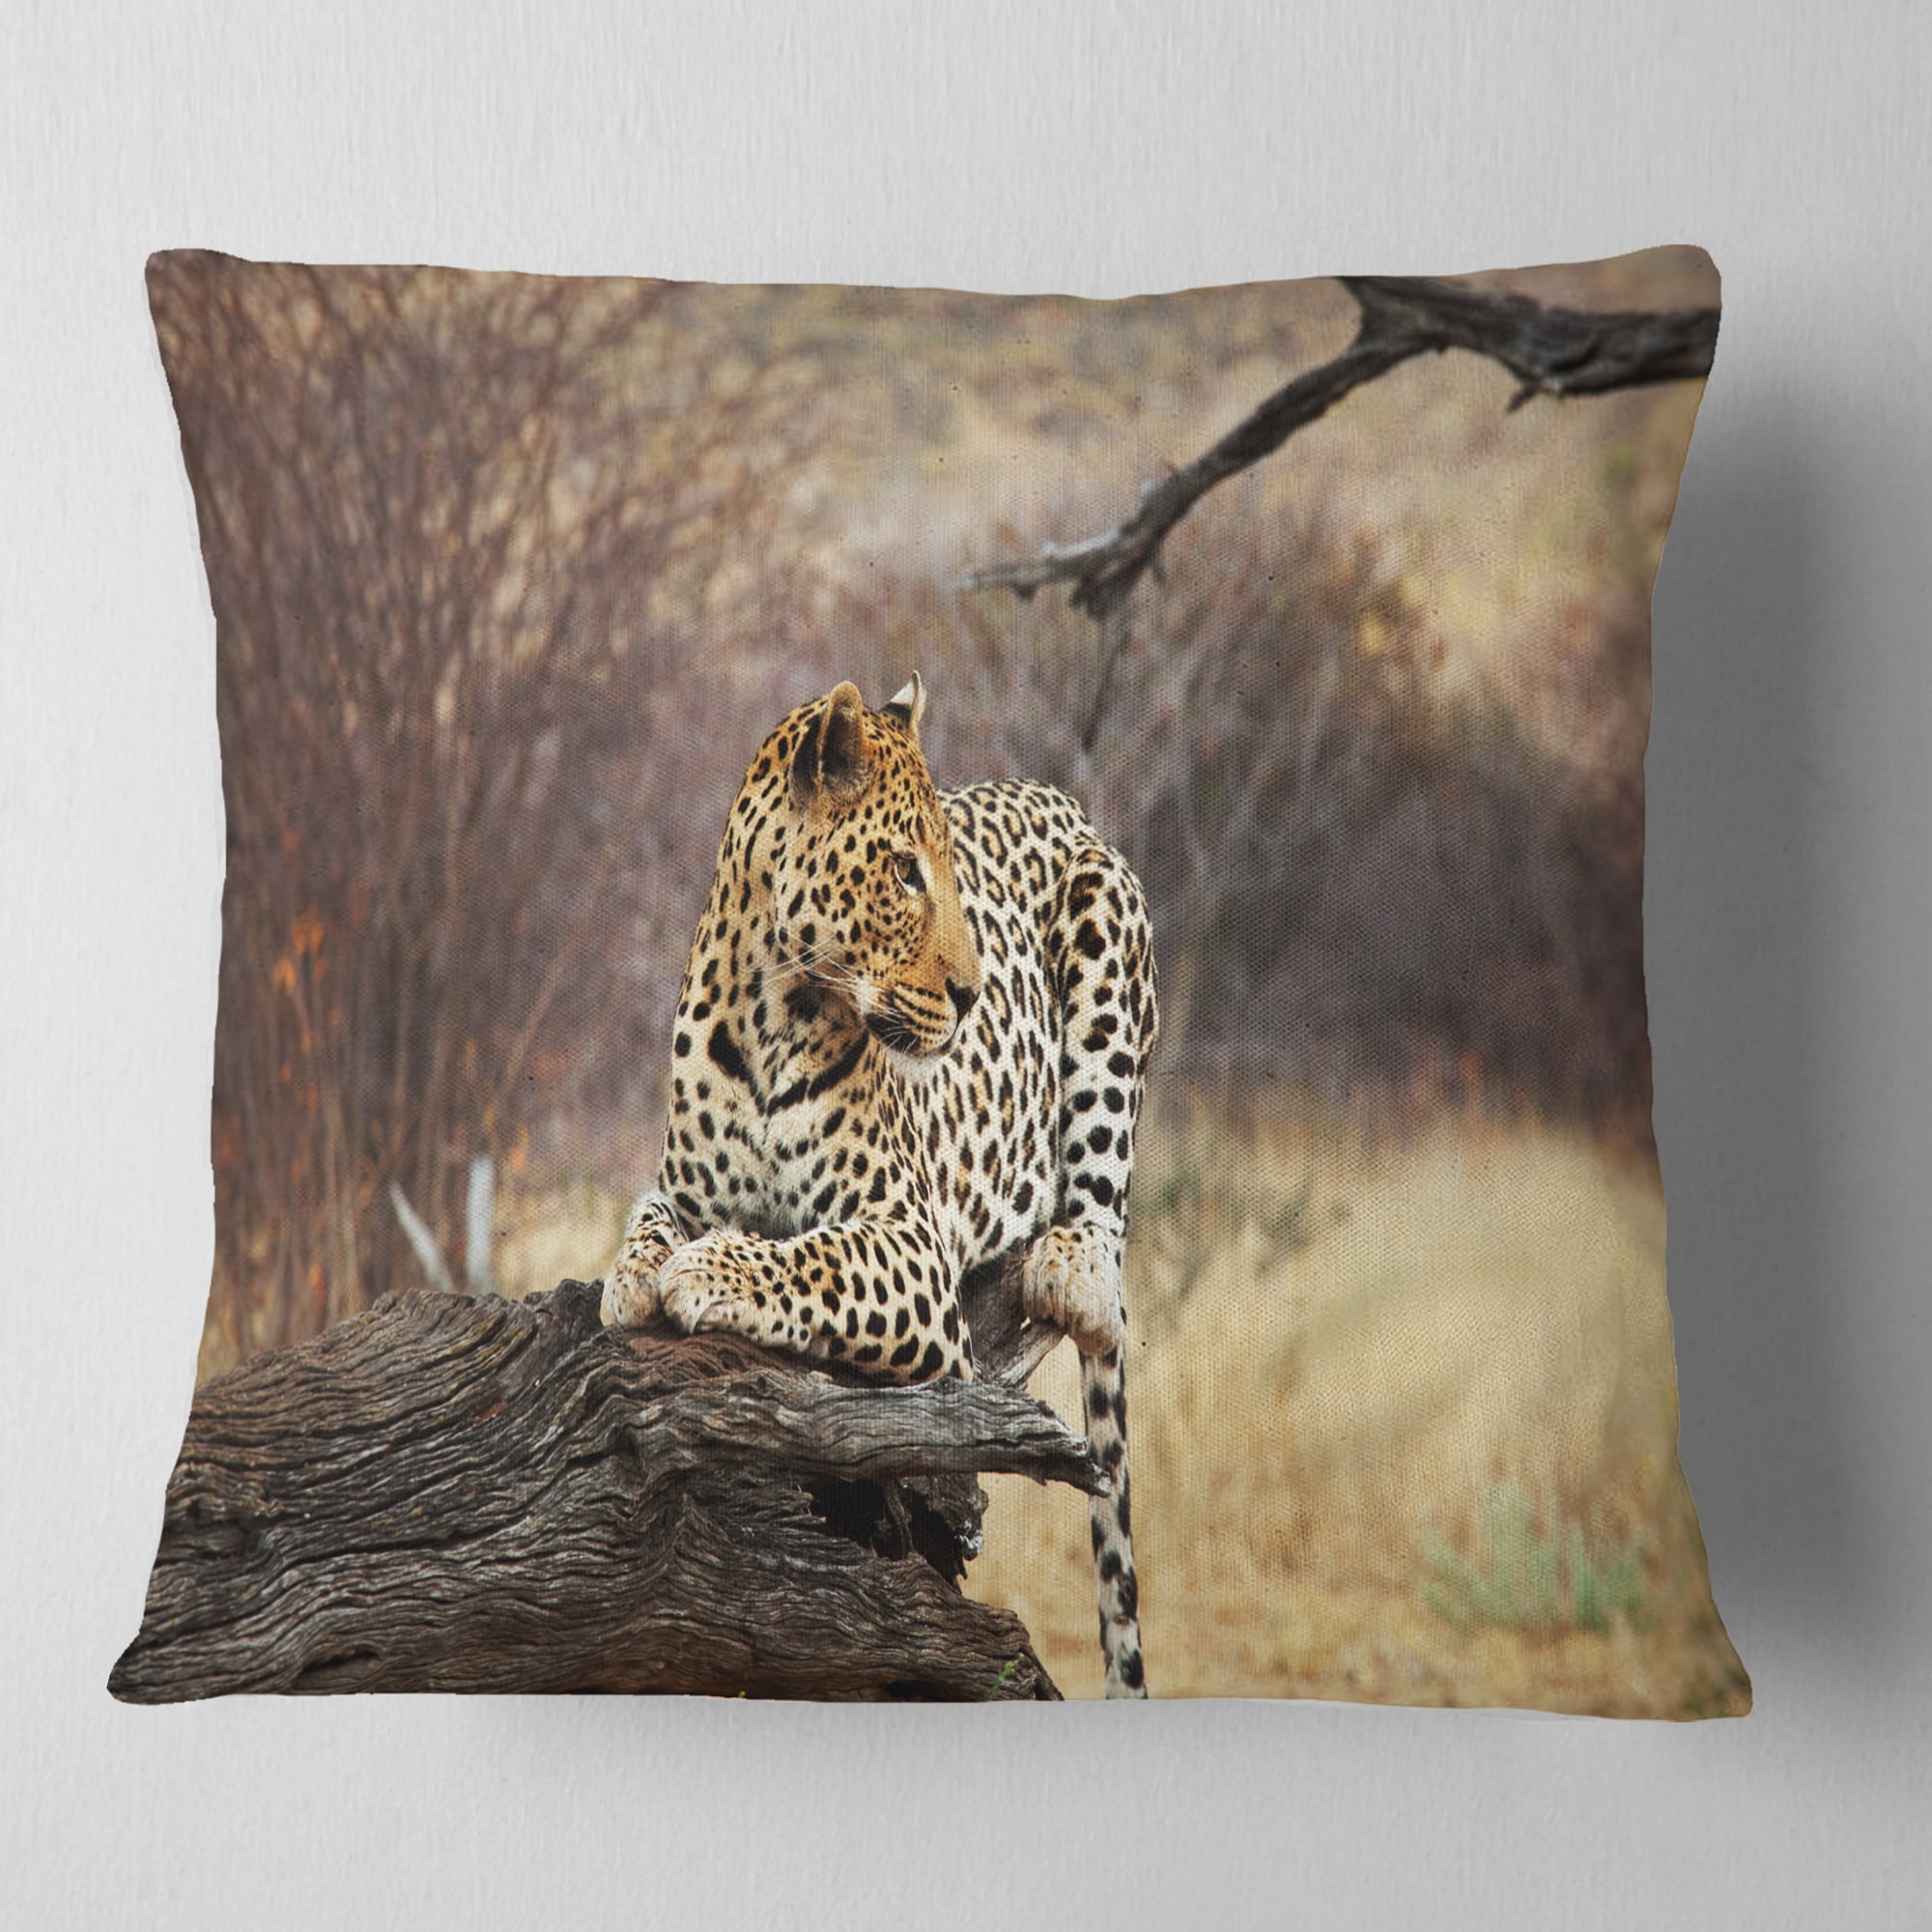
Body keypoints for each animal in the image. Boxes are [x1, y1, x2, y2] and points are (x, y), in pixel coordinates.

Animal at [602, 673, 1157, 1697]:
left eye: (939, 869)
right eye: (903, 871)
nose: (974, 995)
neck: (769, 1012)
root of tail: (1060, 798)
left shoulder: (910, 1243)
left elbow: (811, 1256)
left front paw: (711, 1272)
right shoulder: (677, 1188)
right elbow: (649, 1220)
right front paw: (632, 1277)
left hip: (1110, 940)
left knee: (1104, 1211)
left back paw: (1070, 1265)